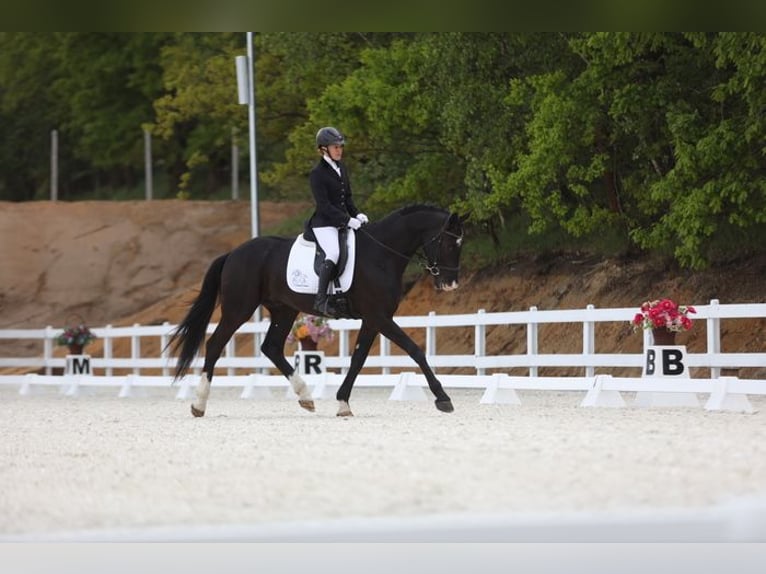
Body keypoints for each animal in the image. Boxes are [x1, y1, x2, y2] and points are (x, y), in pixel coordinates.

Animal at [167, 204, 465, 417]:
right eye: (449, 243)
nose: (450, 284)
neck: (382, 254)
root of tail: (233, 253)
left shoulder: (372, 320)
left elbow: (358, 360)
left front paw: (343, 403)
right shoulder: (380, 317)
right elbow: (415, 350)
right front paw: (443, 398)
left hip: (284, 310)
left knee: (271, 347)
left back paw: (306, 397)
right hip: (238, 309)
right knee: (216, 343)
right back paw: (199, 404)